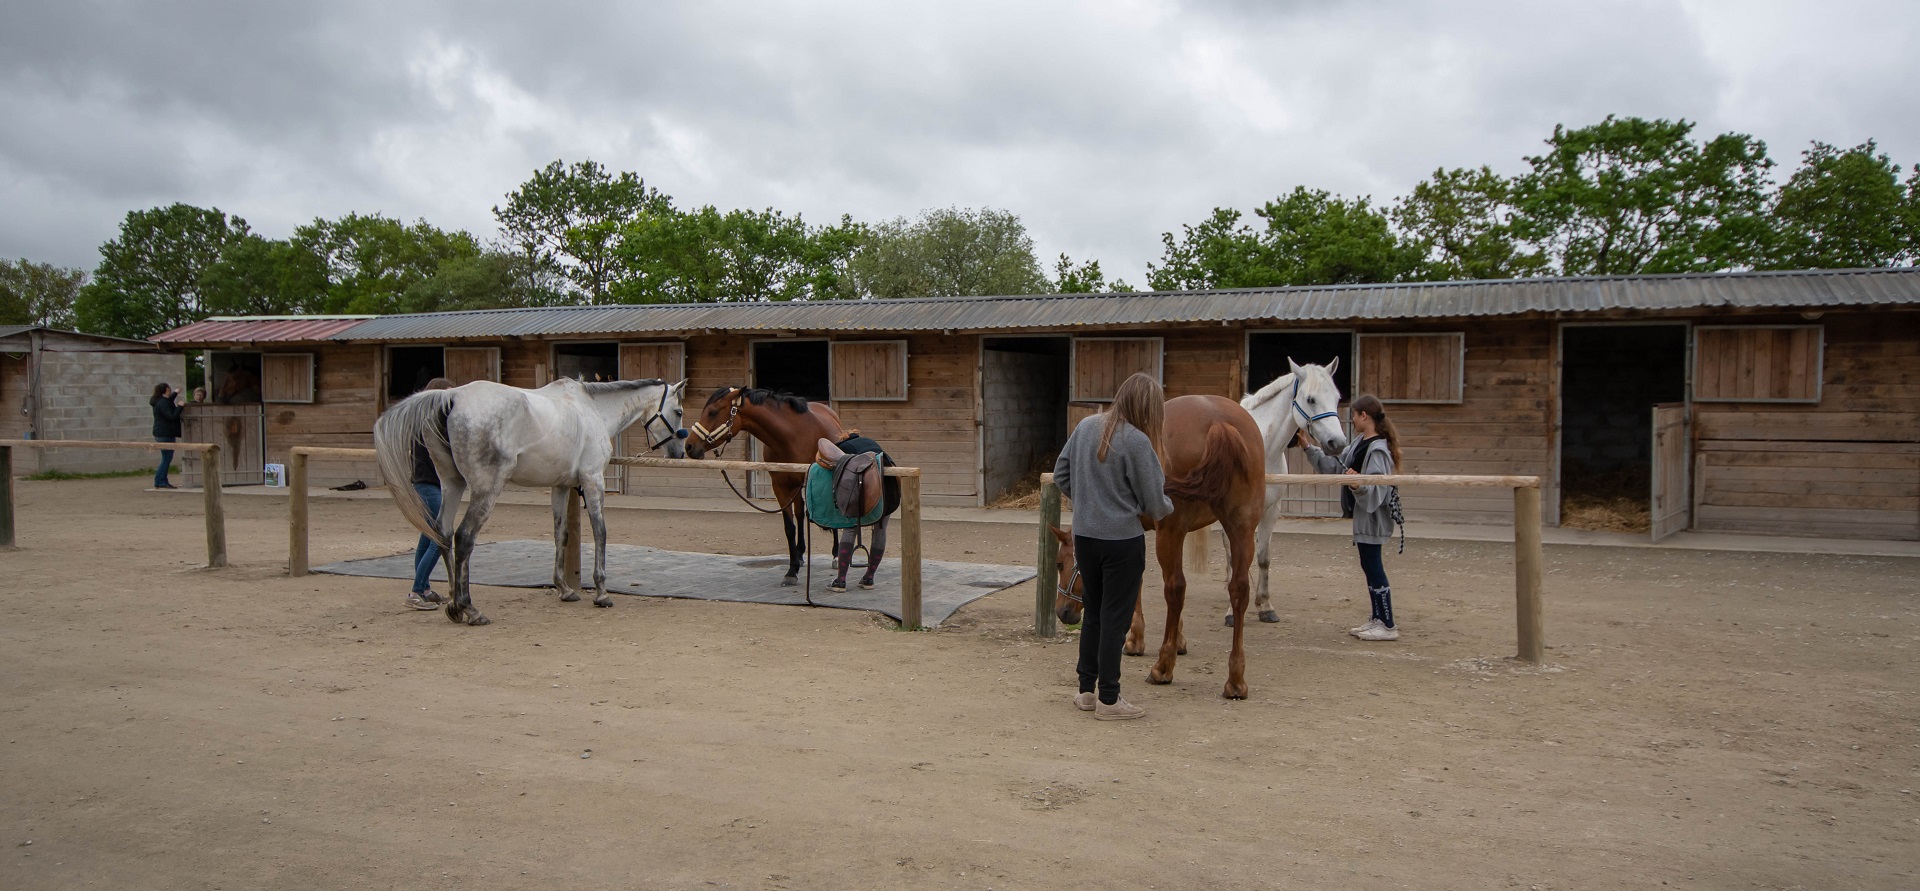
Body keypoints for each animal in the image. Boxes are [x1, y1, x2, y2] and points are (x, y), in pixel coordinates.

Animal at [374, 376, 691, 626]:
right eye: (678, 411)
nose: (680, 453)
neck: (592, 410)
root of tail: (452, 397)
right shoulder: (593, 480)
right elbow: (600, 532)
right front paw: (602, 593)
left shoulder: (560, 486)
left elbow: (561, 534)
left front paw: (564, 589)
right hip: (486, 489)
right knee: (463, 537)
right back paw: (470, 610)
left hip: (453, 484)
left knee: (442, 533)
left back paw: (454, 606)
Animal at [683, 387, 848, 583]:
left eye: (712, 412)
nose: (689, 446)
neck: (792, 436)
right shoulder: (780, 487)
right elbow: (790, 527)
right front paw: (792, 570)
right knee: (800, 513)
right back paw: (800, 555)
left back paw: (835, 555)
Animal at [1044, 395, 1267, 695]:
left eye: (1060, 564)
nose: (1062, 611)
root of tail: (1218, 422)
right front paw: (1179, 640)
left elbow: (1136, 583)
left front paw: (1135, 639)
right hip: (1240, 528)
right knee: (1239, 590)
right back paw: (1235, 680)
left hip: (1172, 532)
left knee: (1176, 588)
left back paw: (1163, 667)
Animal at [1236, 359, 1344, 622]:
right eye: (1311, 399)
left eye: (1337, 398)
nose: (1338, 443)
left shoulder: (1270, 511)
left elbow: (1263, 558)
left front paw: (1265, 606)